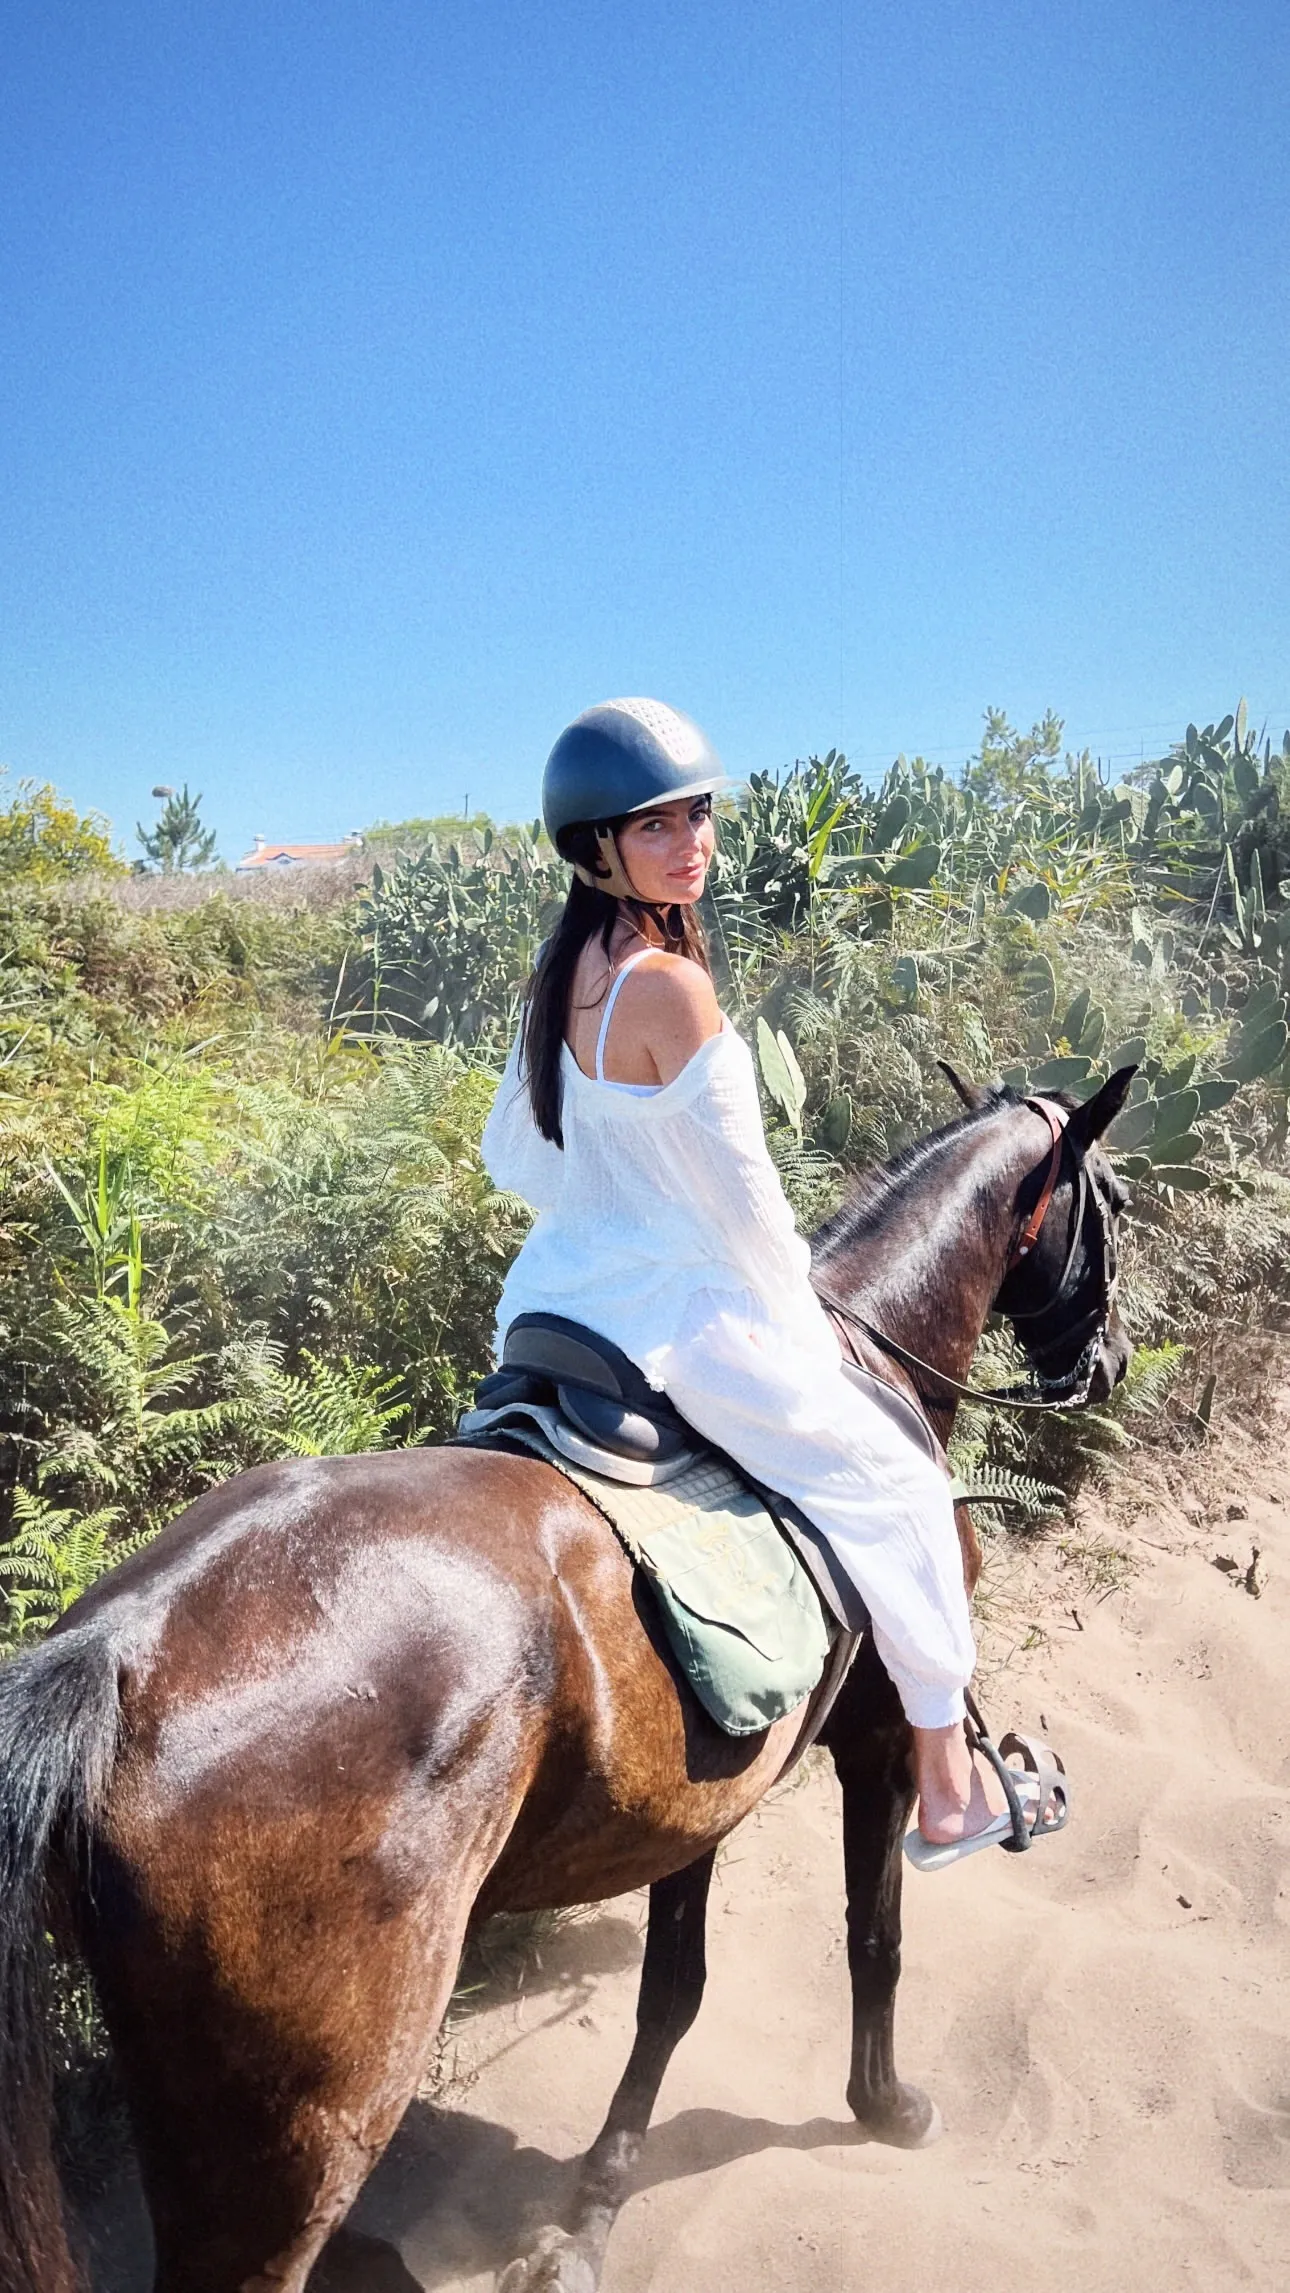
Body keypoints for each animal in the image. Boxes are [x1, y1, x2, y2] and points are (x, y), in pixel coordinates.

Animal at [0, 1063, 1131, 2283]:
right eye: (1116, 1200)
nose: (1113, 1360)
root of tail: (116, 1651)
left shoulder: (695, 1796)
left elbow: (671, 1993)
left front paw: (593, 2208)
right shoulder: (874, 1743)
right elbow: (875, 1937)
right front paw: (884, 2104)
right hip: (300, 2132)